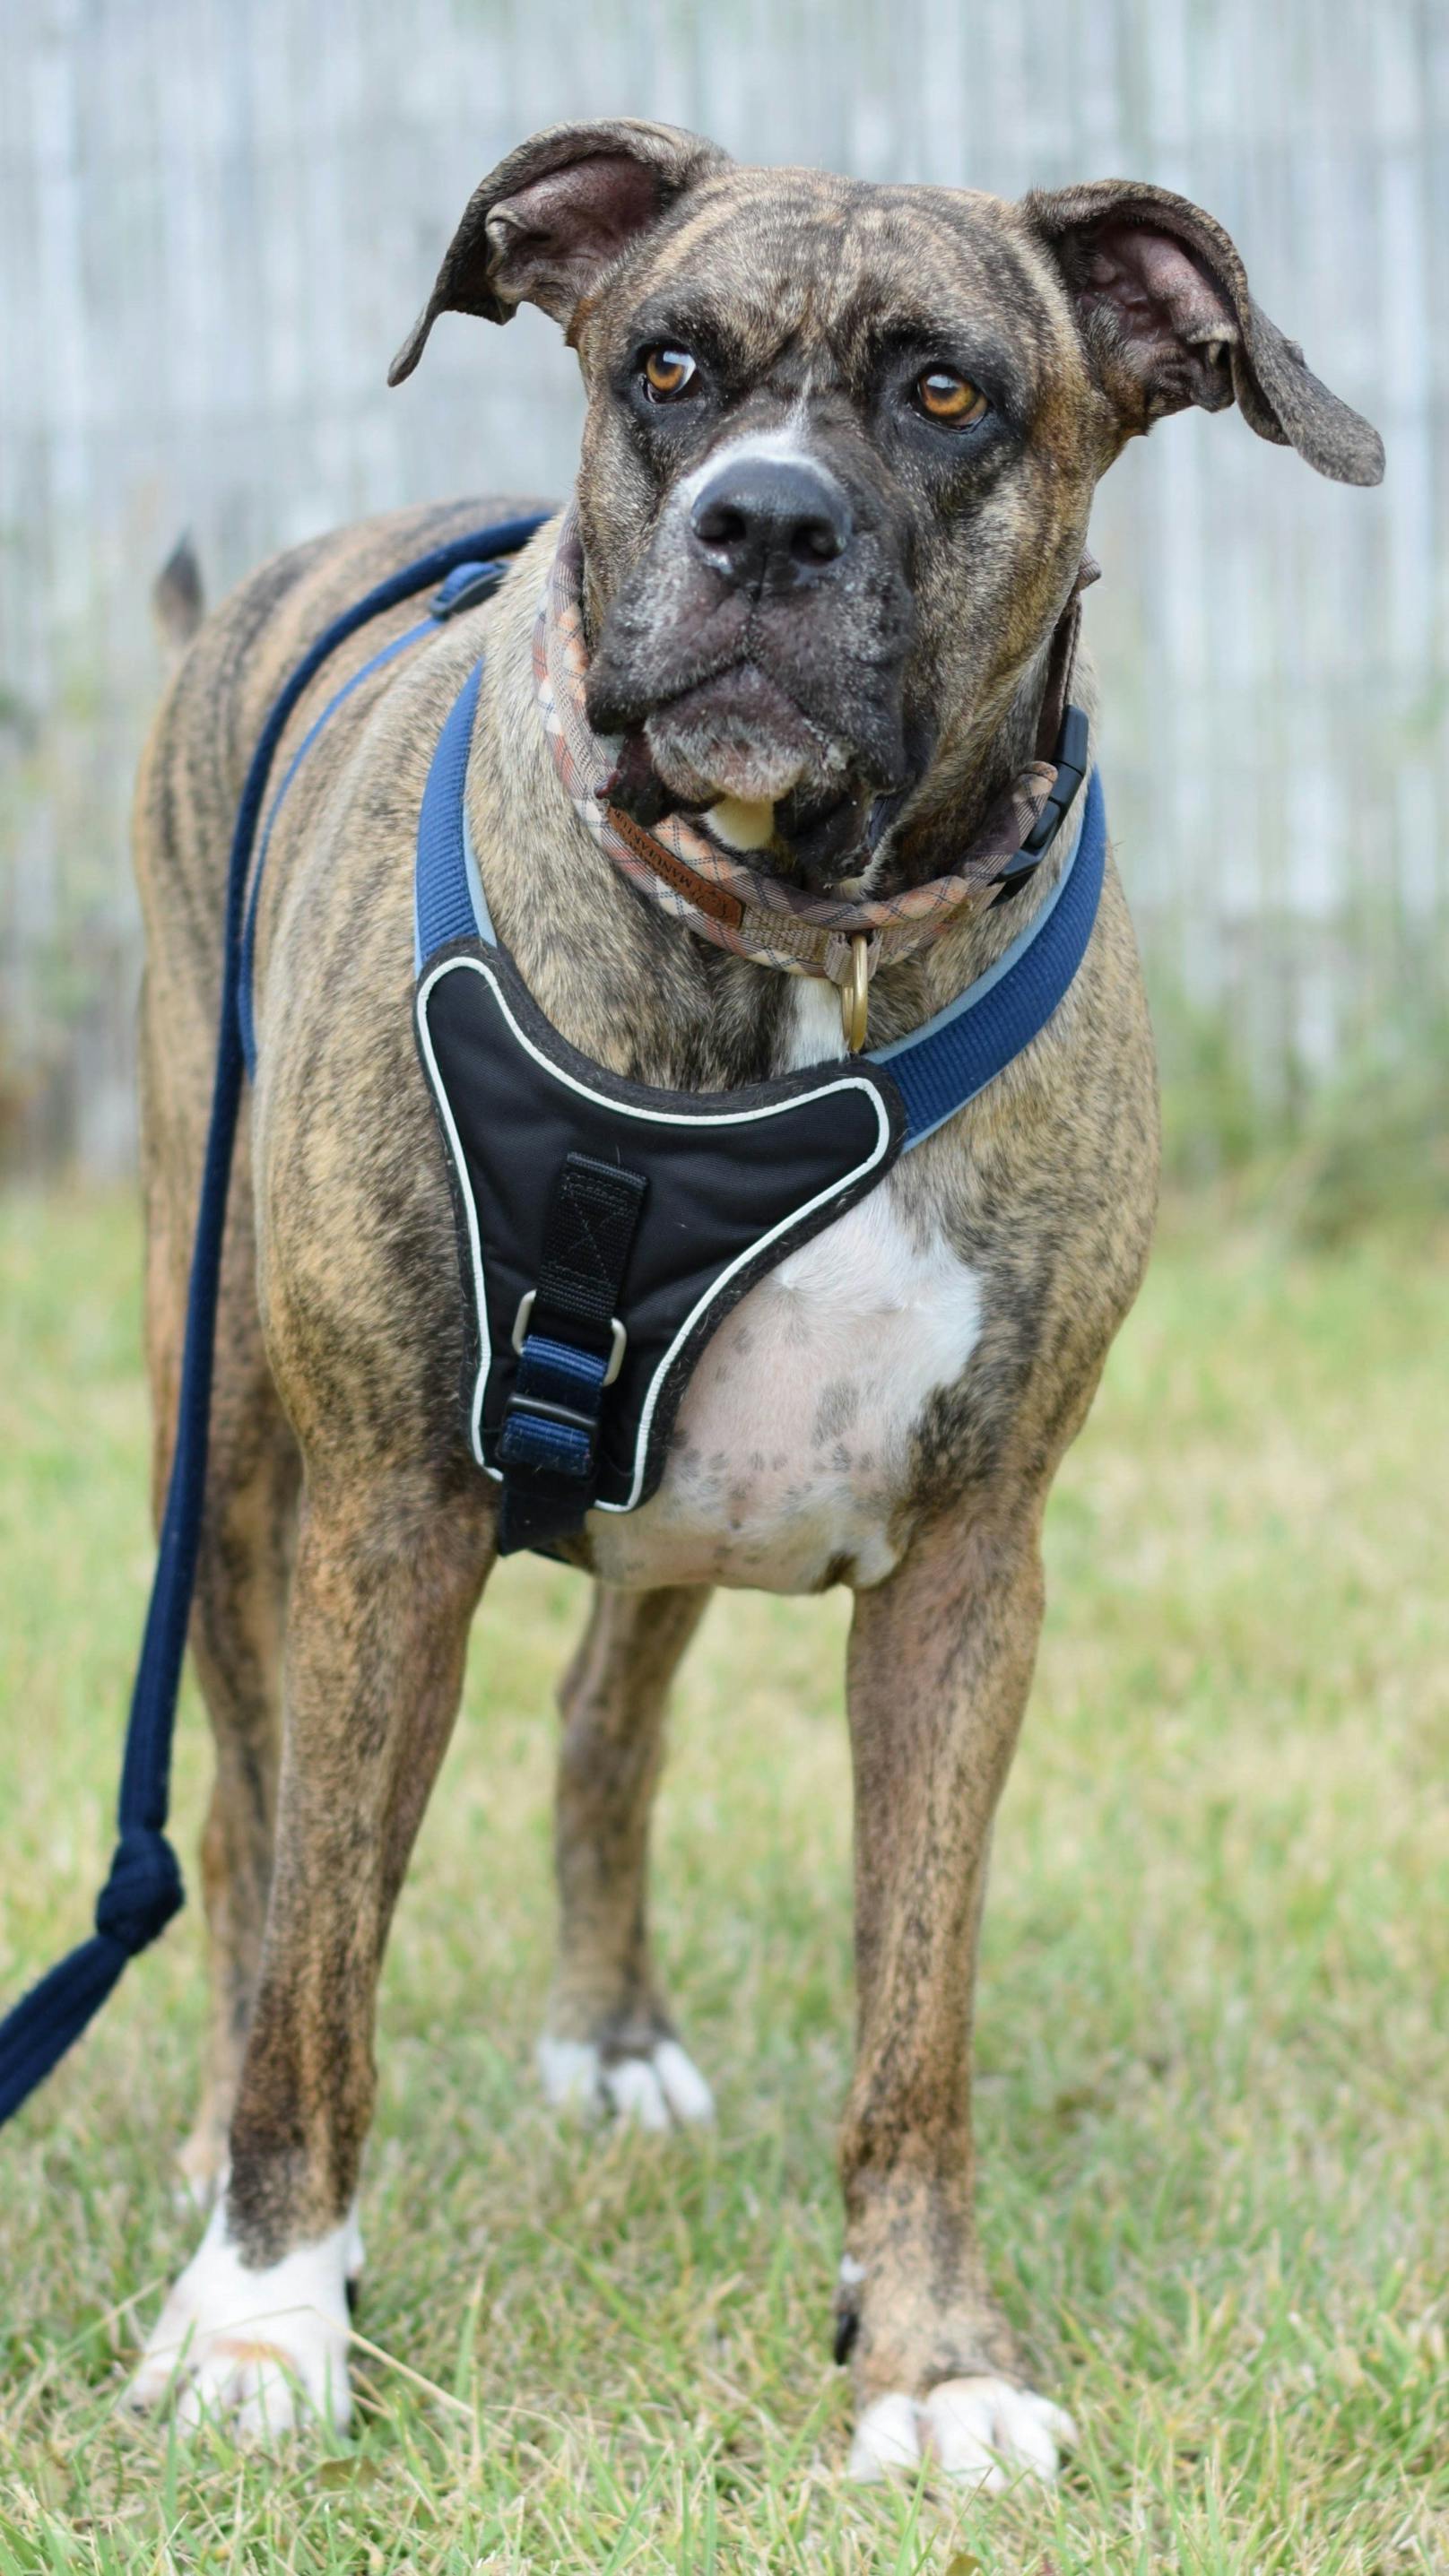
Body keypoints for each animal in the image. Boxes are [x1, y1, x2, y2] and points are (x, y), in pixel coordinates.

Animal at [124, 116, 1371, 2473]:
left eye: (950, 393)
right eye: (670, 367)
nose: (763, 521)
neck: (804, 940)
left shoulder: (968, 1568)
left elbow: (916, 2018)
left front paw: (934, 2358)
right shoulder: (385, 1514)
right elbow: (324, 1944)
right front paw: (263, 2311)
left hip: (670, 1500)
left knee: (596, 1726)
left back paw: (610, 2039)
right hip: (223, 1438)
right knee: (253, 1835)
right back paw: (231, 2150)